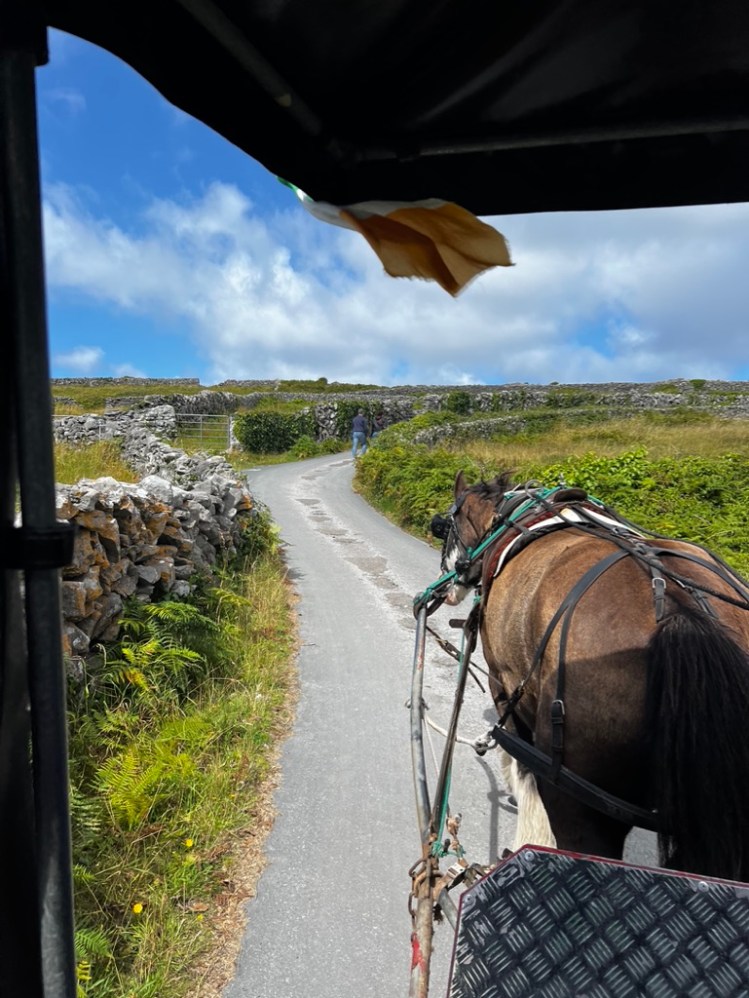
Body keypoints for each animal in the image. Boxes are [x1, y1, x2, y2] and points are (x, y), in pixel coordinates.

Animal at [430, 469, 749, 882]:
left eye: (445, 526)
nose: (446, 584)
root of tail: (682, 615)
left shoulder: (505, 685)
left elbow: (523, 771)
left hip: (580, 797)